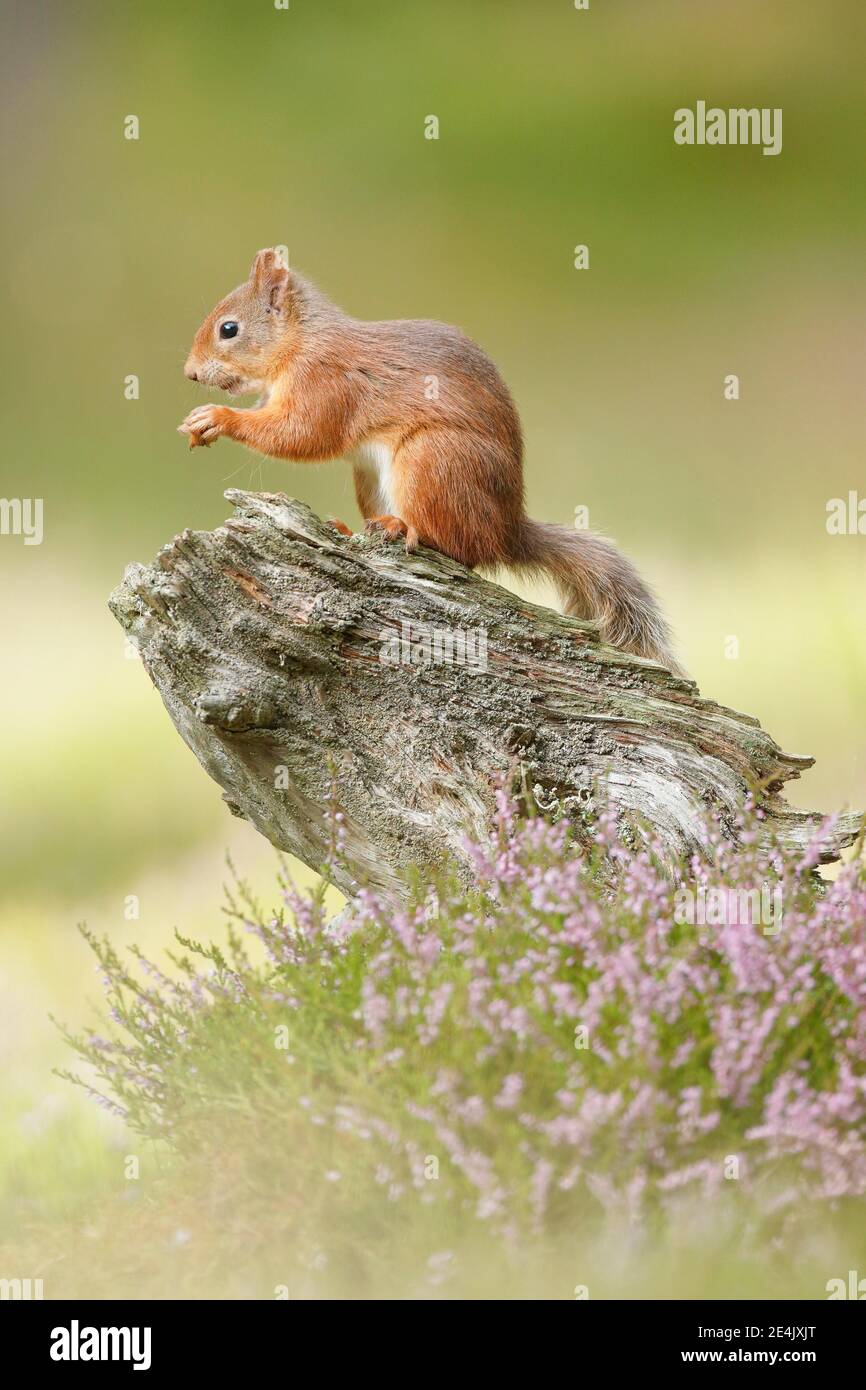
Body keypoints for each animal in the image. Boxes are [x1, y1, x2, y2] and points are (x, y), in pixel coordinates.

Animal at [180, 251, 683, 672]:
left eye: (229, 329)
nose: (190, 373)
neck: (299, 342)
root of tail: (507, 530)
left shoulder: (325, 381)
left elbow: (302, 433)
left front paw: (218, 418)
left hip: (431, 460)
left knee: (460, 548)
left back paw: (405, 529)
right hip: (372, 478)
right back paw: (354, 530)